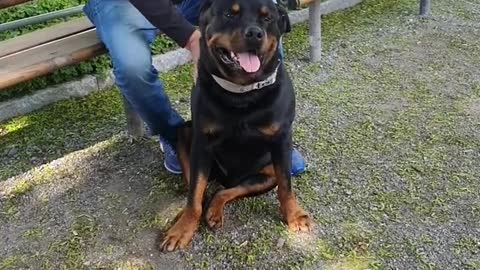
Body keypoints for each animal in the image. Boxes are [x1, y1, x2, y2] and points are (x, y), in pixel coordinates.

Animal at [159, 0, 314, 252]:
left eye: (267, 18)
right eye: (230, 14)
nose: (254, 33)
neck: (242, 93)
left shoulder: (282, 139)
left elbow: (286, 186)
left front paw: (294, 215)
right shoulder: (202, 144)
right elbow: (194, 193)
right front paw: (183, 229)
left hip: (265, 174)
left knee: (225, 190)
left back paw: (214, 210)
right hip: (185, 134)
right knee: (198, 189)